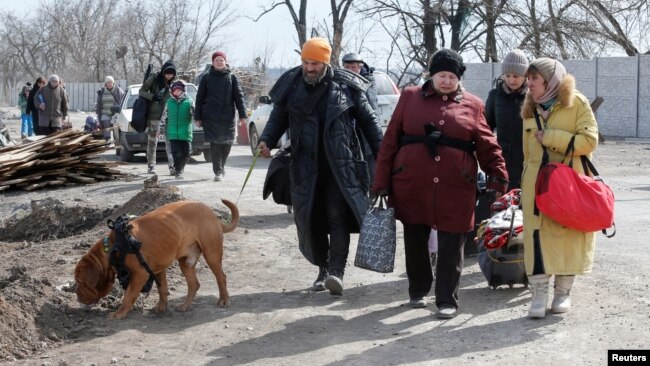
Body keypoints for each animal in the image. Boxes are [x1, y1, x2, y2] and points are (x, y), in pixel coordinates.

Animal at [75, 199, 238, 318]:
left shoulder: (140, 275)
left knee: (221, 277)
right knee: (194, 284)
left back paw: (223, 300)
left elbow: (128, 296)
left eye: (80, 282)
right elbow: (162, 289)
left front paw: (119, 313)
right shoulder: (157, 269)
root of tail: (211, 213)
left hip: (211, 254)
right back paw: (185, 306)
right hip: (185, 262)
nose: (76, 295)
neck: (113, 246)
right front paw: (161, 306)